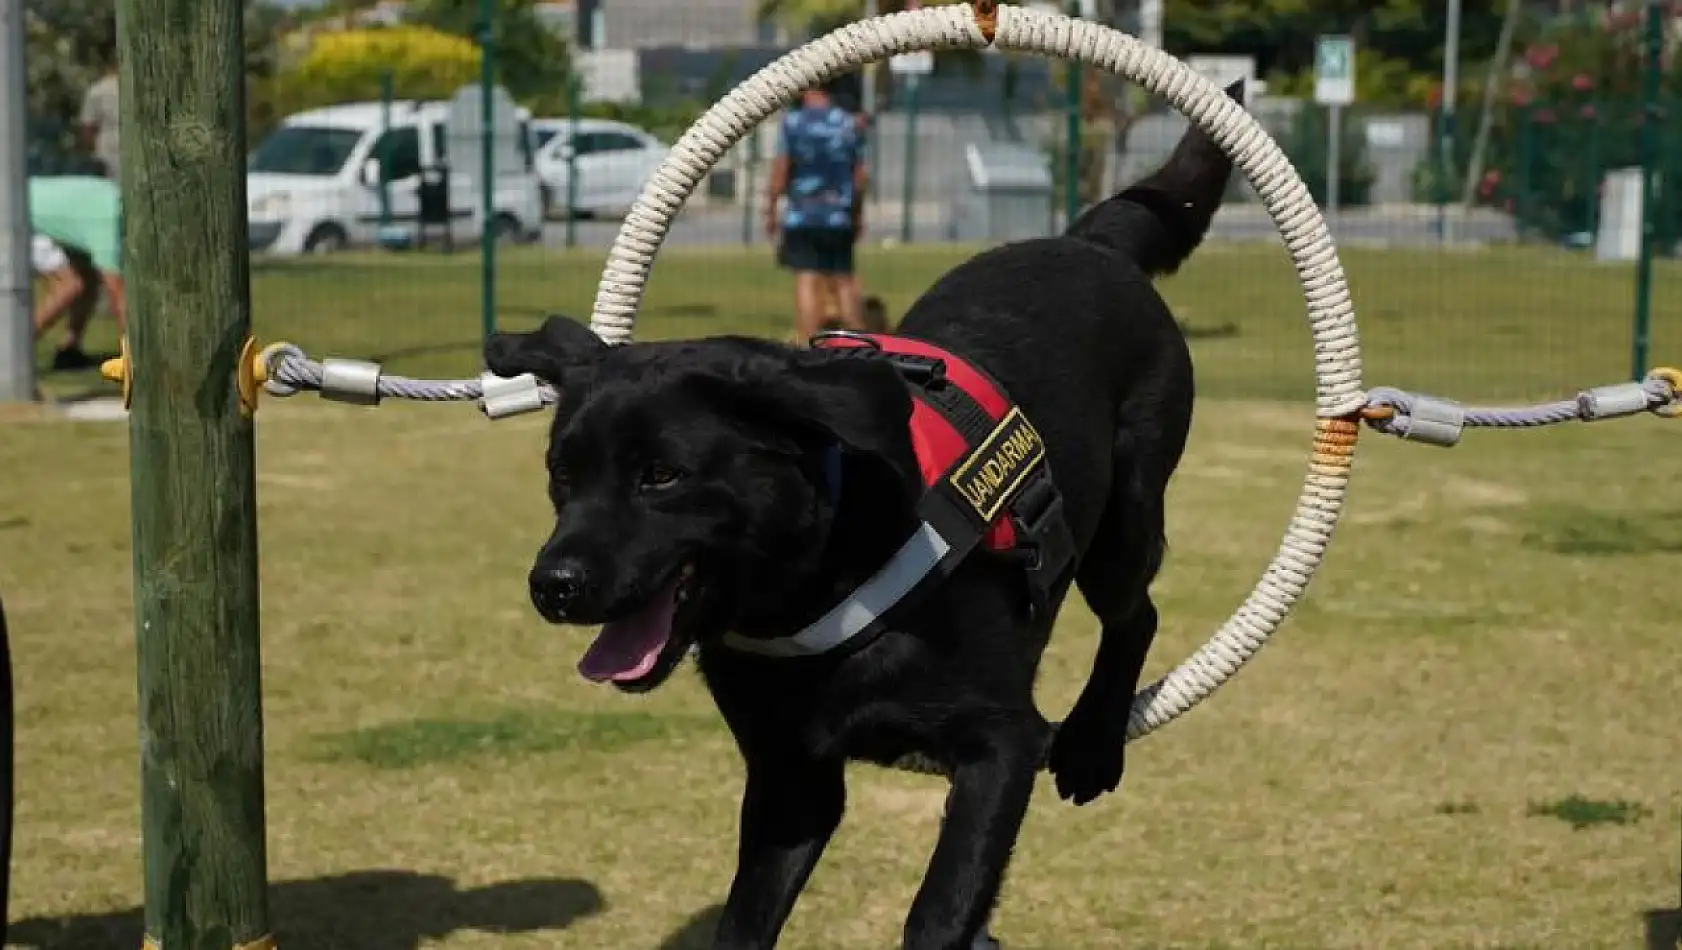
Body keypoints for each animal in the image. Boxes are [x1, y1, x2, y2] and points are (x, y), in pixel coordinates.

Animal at [491, 85, 1251, 941]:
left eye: (661, 475)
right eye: (562, 476)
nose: (551, 585)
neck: (823, 582)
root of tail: (1091, 242)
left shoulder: (1001, 746)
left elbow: (942, 910)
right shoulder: (792, 778)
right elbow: (746, 918)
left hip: (1125, 514)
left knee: (1136, 615)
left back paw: (1092, 742)